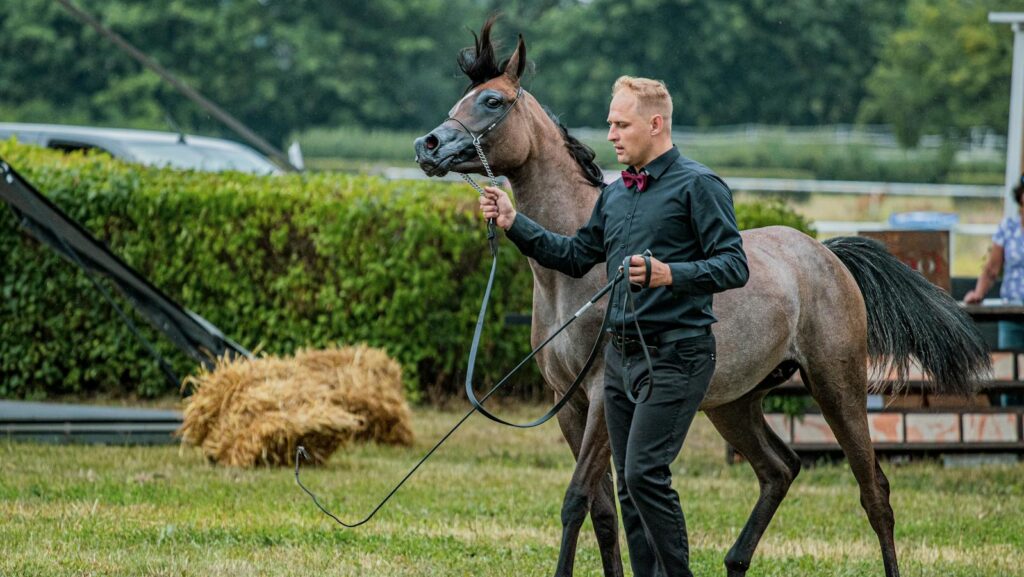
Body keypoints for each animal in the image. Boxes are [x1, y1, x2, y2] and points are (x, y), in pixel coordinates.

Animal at [413, 19, 990, 577]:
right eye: (461, 99)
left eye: (493, 101)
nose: (428, 146)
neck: (575, 280)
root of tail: (825, 255)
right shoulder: (568, 405)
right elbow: (604, 512)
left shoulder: (598, 395)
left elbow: (576, 500)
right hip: (734, 403)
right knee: (780, 469)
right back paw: (735, 561)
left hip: (837, 386)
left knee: (875, 493)